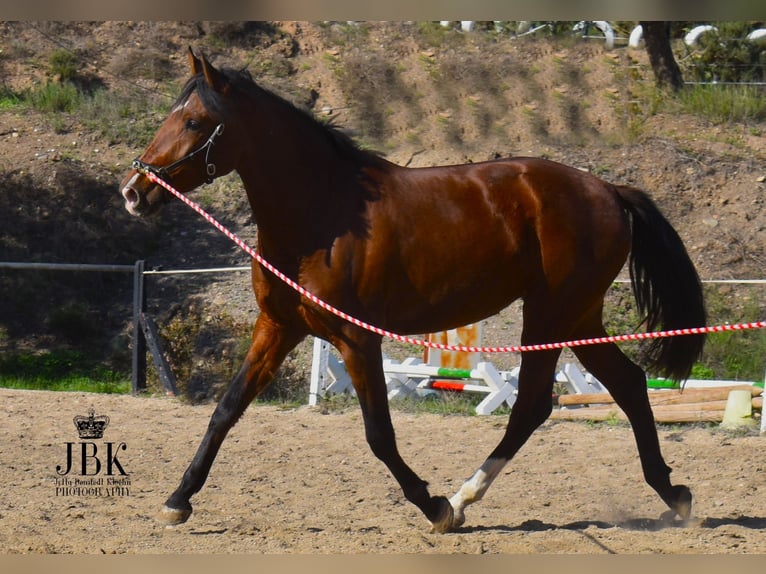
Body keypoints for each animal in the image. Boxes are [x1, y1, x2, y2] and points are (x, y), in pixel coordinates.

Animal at [118, 50, 708, 536]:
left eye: (194, 121)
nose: (133, 192)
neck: (322, 216)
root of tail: (609, 189)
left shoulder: (357, 339)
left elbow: (379, 433)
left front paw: (433, 506)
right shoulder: (279, 328)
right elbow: (225, 410)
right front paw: (177, 500)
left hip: (549, 314)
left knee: (533, 405)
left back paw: (463, 499)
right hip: (578, 317)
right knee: (628, 385)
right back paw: (673, 494)